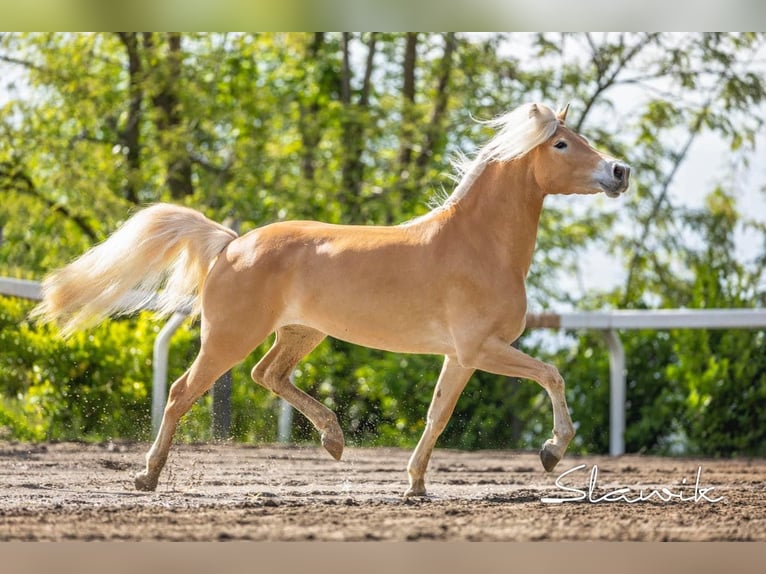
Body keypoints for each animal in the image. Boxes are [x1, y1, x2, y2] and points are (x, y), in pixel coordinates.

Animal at [31, 103, 632, 500]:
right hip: (229, 337)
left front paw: (415, 485)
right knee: (183, 392)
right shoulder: (480, 348)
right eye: (561, 143)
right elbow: (551, 374)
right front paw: (553, 451)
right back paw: (147, 476)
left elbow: (437, 414)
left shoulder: (459, 357)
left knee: (268, 376)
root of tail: (232, 243)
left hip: (302, 332)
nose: (620, 172)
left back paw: (334, 440)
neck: (477, 244)